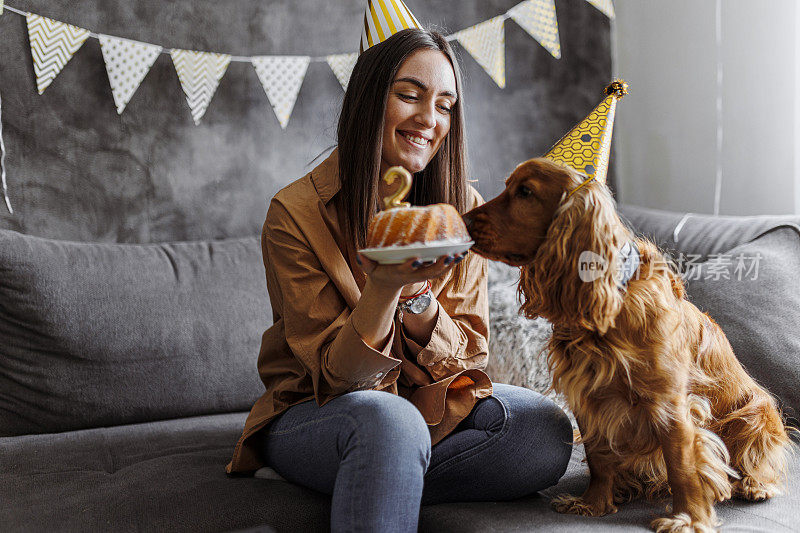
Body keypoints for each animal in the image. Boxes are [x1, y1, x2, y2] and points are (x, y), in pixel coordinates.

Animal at [462, 158, 792, 532]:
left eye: (525, 192)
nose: (461, 219)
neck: (608, 305)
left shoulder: (669, 402)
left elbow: (682, 466)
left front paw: (688, 518)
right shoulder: (588, 396)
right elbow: (598, 457)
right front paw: (593, 503)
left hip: (756, 413)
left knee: (759, 455)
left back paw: (755, 484)